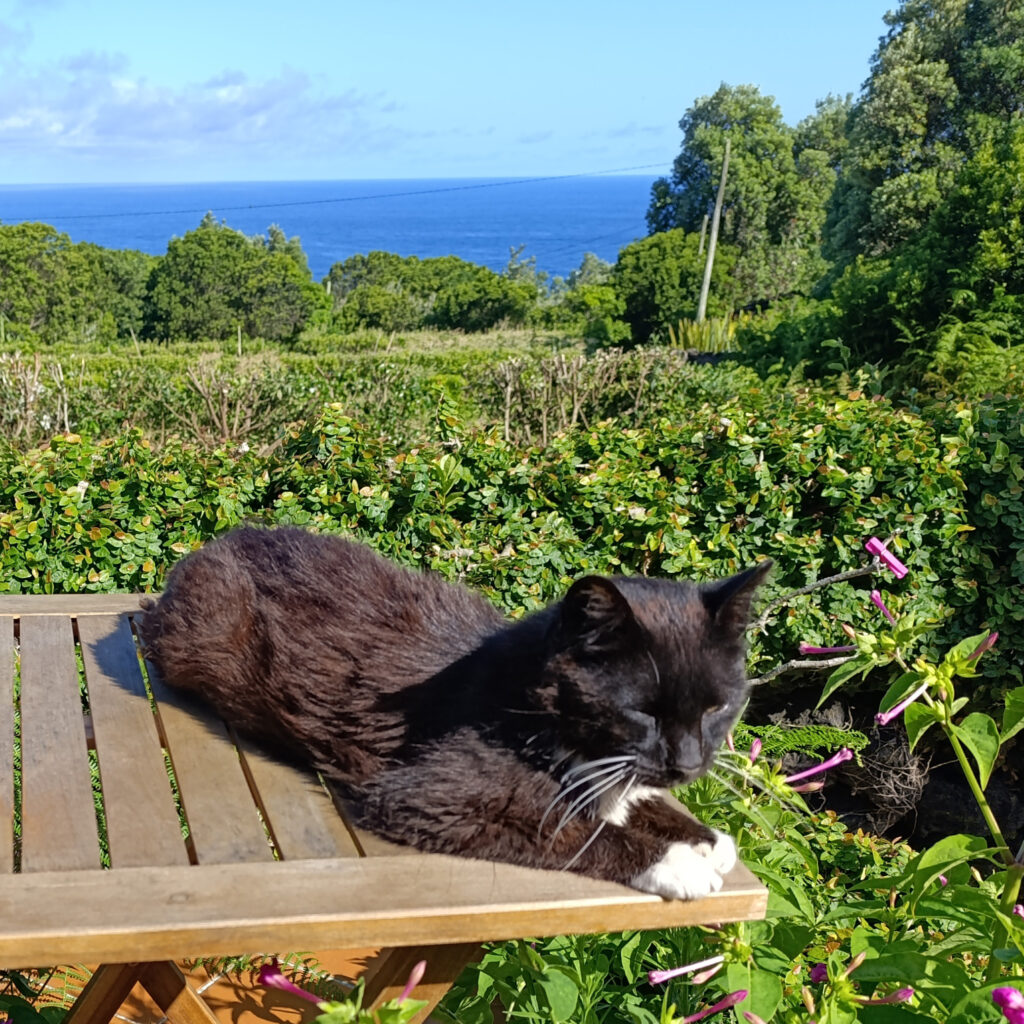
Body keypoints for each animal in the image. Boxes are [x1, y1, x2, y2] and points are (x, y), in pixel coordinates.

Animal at [140, 528, 770, 897]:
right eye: (642, 712)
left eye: (718, 707)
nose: (688, 764)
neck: (530, 711)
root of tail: (218, 540)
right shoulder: (426, 799)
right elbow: (576, 832)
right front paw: (676, 862)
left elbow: (629, 801)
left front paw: (706, 838)